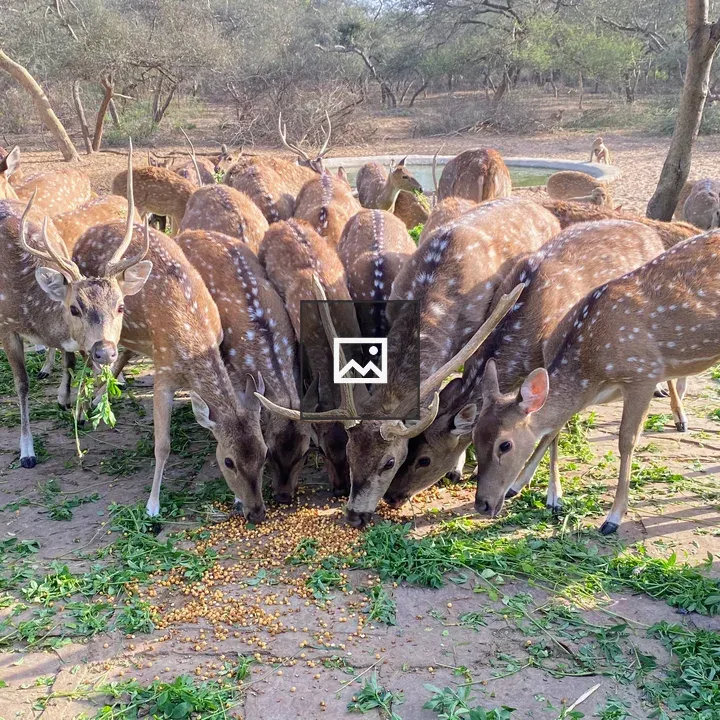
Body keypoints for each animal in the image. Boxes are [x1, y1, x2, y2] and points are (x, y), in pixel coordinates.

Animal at [0, 147, 152, 470]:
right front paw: (27, 451)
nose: (105, 351)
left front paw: (76, 409)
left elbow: (73, 362)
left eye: (121, 306)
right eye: (73, 308)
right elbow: (22, 384)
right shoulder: (5, 324)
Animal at [385, 219, 686, 509]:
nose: (391, 496)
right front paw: (462, 470)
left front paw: (553, 495)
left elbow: (551, 428)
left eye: (424, 459)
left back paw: (679, 415)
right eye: (407, 451)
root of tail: (651, 231)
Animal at [473, 228, 720, 535]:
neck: (591, 371)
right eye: (474, 437)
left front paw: (612, 518)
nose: (482, 504)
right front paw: (525, 488)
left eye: (504, 445)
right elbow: (553, 429)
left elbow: (626, 441)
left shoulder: (643, 373)